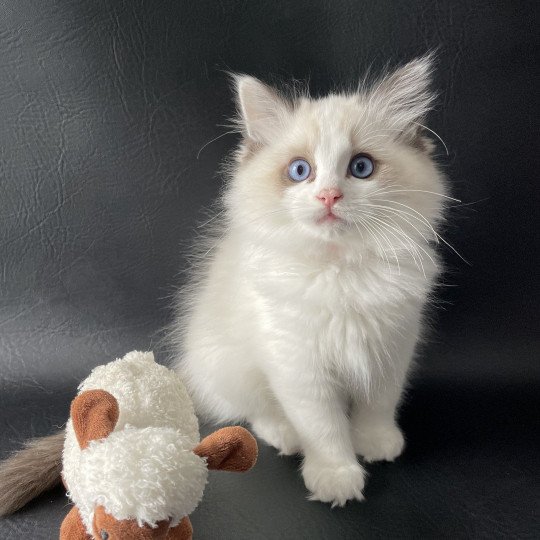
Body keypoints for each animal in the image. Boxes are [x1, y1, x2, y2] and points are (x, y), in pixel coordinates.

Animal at [172, 56, 448, 506]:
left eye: (361, 167)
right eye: (300, 171)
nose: (329, 196)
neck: (341, 271)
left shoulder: (391, 347)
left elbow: (378, 403)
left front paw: (375, 443)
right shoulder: (298, 363)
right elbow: (323, 426)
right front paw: (336, 477)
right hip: (230, 366)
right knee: (255, 411)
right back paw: (284, 435)